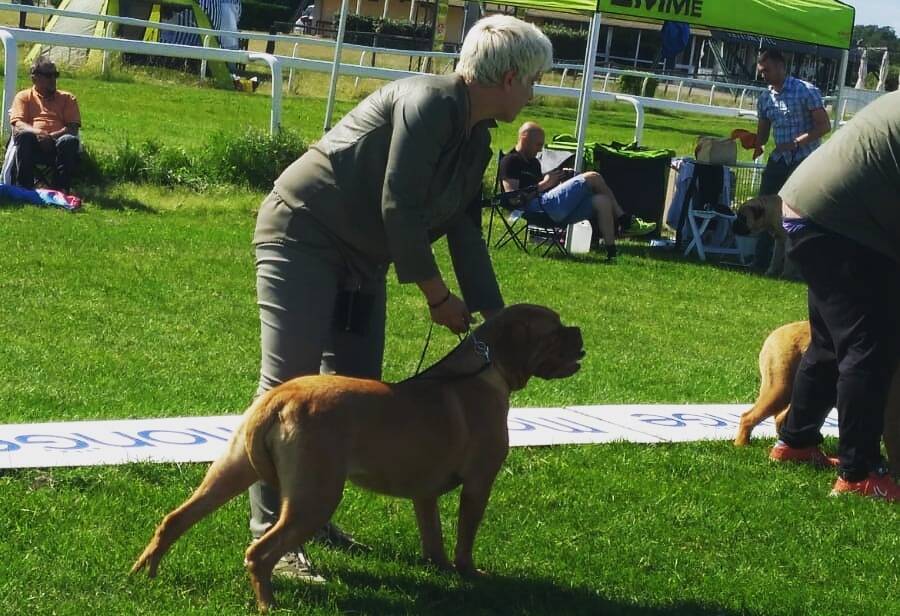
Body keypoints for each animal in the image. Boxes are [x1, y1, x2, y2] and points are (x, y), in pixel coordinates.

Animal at [132, 304, 584, 612]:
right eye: (555, 328)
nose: (580, 330)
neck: (487, 367)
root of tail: (278, 399)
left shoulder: (424, 493)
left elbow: (433, 534)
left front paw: (437, 567)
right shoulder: (479, 483)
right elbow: (464, 538)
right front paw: (469, 573)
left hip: (230, 470)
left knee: (176, 518)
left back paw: (146, 570)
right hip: (315, 497)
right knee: (259, 553)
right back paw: (268, 604)